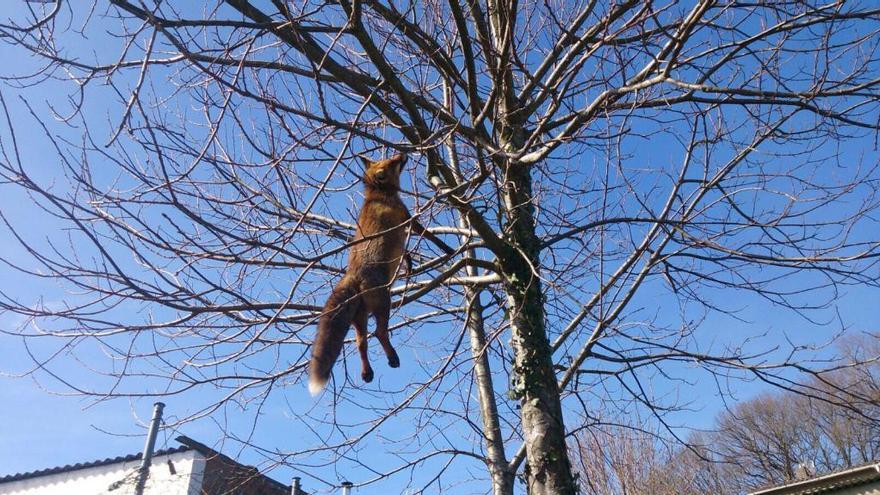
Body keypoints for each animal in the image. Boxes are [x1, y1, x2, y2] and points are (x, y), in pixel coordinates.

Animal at [308, 153, 454, 398]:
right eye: (393, 162)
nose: (403, 152)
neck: (378, 195)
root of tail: (353, 275)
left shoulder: (401, 235)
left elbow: (405, 253)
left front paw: (409, 266)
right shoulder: (407, 220)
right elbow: (429, 235)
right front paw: (448, 249)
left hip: (359, 318)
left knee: (361, 343)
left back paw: (367, 372)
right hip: (383, 303)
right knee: (379, 333)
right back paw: (392, 357)